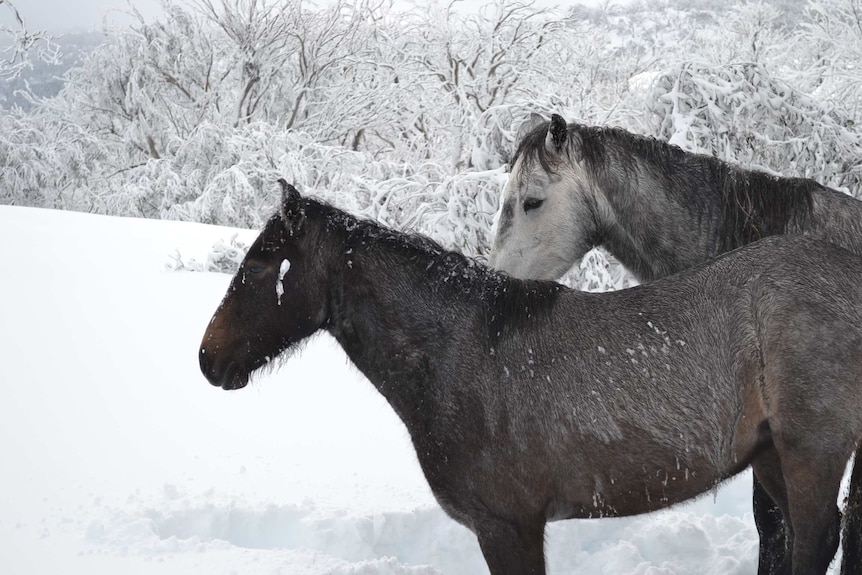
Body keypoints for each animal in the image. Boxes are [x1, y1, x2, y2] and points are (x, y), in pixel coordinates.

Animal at [201, 180, 862, 575]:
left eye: (259, 265)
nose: (209, 359)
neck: (464, 353)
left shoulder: (508, 527)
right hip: (772, 456)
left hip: (811, 453)